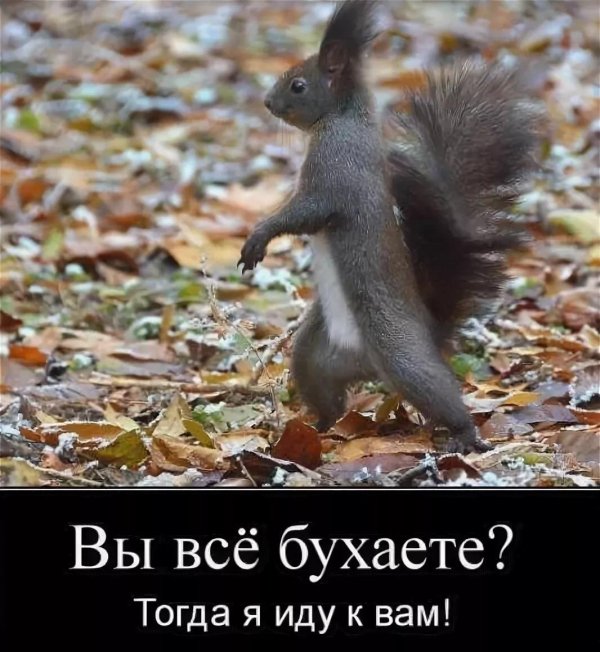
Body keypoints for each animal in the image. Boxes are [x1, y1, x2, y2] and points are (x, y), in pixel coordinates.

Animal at [238, 0, 541, 452]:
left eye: (298, 85)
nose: (267, 102)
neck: (342, 119)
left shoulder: (336, 172)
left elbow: (306, 212)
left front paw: (259, 237)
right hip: (313, 356)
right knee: (328, 397)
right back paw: (316, 430)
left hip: (399, 351)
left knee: (436, 389)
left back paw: (463, 435)